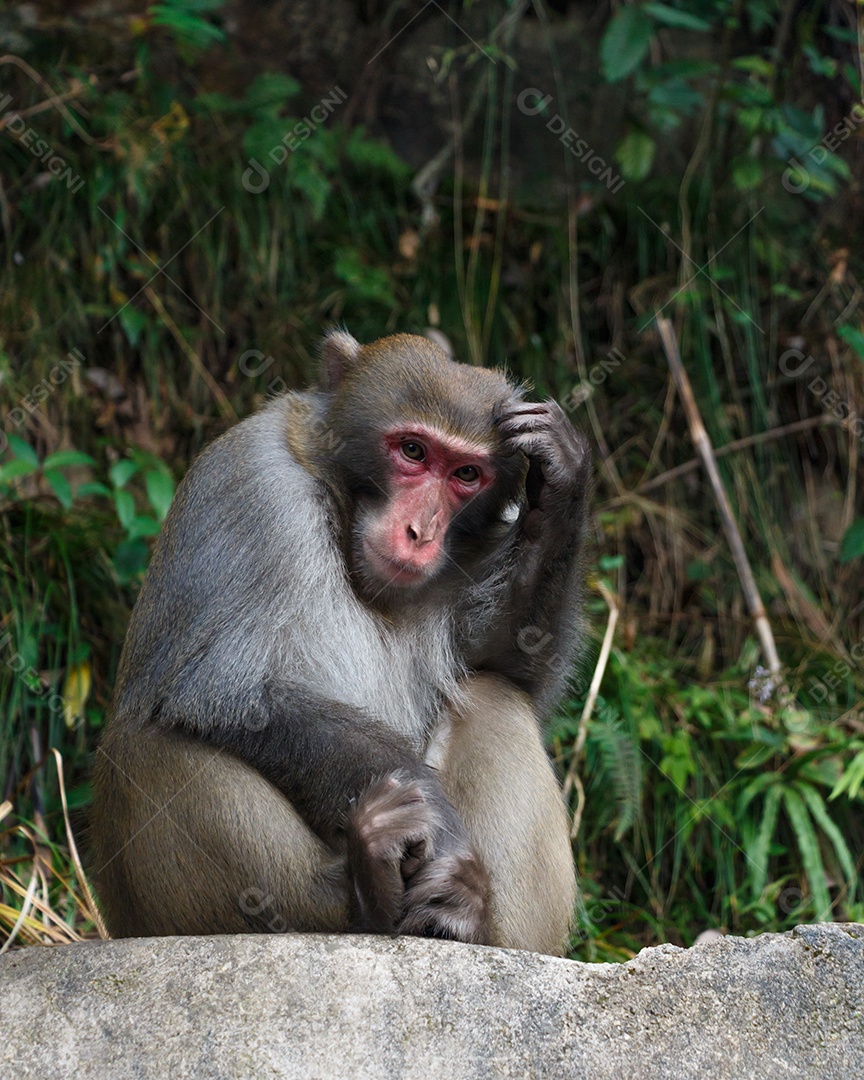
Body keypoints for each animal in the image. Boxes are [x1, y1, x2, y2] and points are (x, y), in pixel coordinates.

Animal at [91, 330, 590, 956]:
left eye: (466, 475)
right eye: (413, 451)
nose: (419, 533)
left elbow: (508, 660)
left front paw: (562, 480)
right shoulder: (256, 485)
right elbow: (223, 690)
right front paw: (435, 820)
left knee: (493, 697)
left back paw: (466, 925)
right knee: (148, 743)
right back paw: (365, 894)